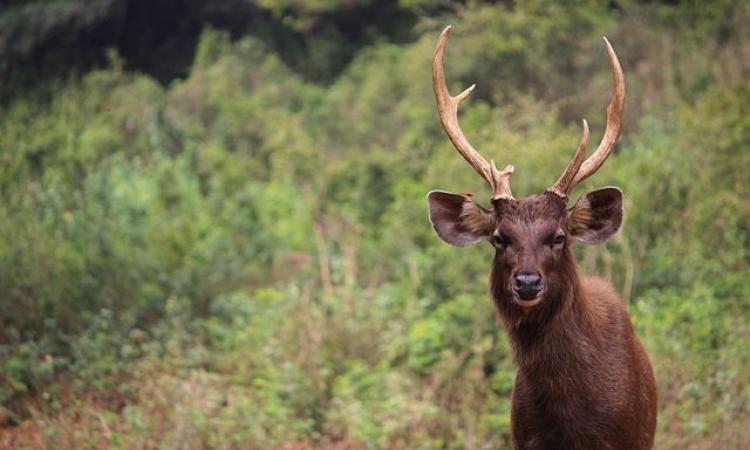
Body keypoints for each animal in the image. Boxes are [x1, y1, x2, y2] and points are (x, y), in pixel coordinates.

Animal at [426, 26, 660, 448]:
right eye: (499, 238)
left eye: (559, 236)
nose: (527, 281)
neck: (571, 421)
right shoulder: (525, 437)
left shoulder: (628, 437)